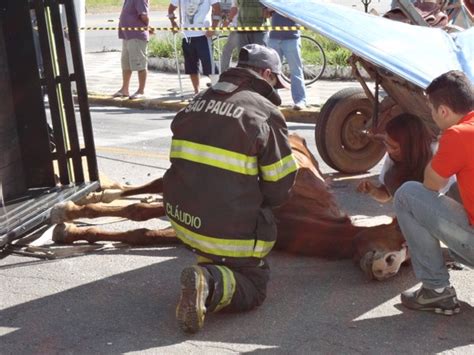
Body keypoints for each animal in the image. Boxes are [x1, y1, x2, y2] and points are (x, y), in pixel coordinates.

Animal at [51, 134, 408, 280]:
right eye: (399, 239)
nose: (388, 267)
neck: (299, 217)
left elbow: (144, 231)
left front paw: (72, 228)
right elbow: (140, 221)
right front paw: (70, 223)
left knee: (150, 199)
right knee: (150, 191)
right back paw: (90, 199)